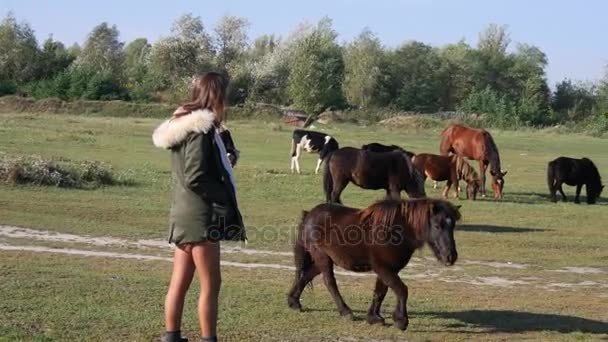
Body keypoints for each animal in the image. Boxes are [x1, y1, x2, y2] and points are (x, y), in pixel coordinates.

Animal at [286, 199, 460, 330]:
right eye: (437, 225)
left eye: (453, 226)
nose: (450, 256)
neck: (397, 230)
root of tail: (309, 215)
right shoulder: (383, 268)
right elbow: (401, 290)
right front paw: (401, 321)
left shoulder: (388, 269)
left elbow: (380, 292)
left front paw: (374, 317)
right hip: (322, 257)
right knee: (329, 282)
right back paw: (346, 312)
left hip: (325, 259)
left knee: (306, 276)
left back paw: (293, 301)